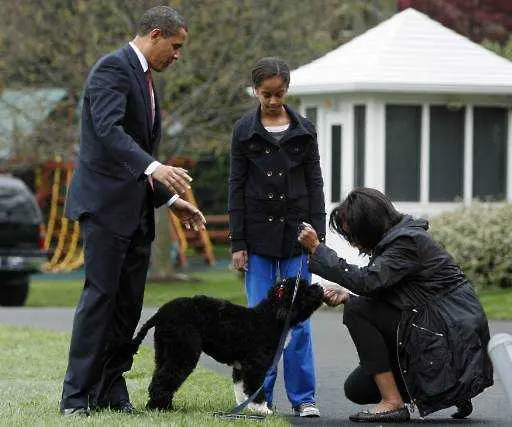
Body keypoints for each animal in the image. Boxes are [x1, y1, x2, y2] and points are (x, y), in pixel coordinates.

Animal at [132, 280, 324, 412]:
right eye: (303, 290)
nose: (320, 288)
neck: (270, 318)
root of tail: (161, 312)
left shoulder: (240, 368)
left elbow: (240, 389)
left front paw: (244, 409)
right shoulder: (255, 366)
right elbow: (254, 388)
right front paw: (263, 410)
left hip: (164, 352)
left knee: (158, 377)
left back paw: (161, 406)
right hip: (183, 352)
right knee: (164, 379)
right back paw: (160, 408)